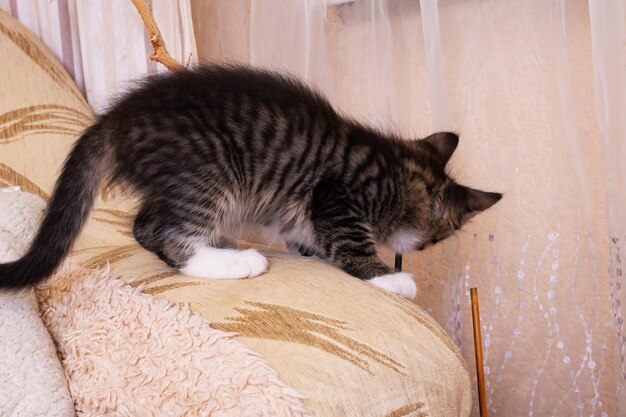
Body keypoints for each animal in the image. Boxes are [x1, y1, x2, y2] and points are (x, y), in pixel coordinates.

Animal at [0, 65, 500, 296]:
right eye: (438, 240)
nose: (421, 250)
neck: (394, 168)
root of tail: (118, 117)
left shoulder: (304, 216)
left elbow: (312, 239)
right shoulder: (336, 198)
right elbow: (351, 246)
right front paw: (391, 280)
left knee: (145, 227)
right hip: (210, 174)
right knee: (168, 235)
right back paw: (236, 262)